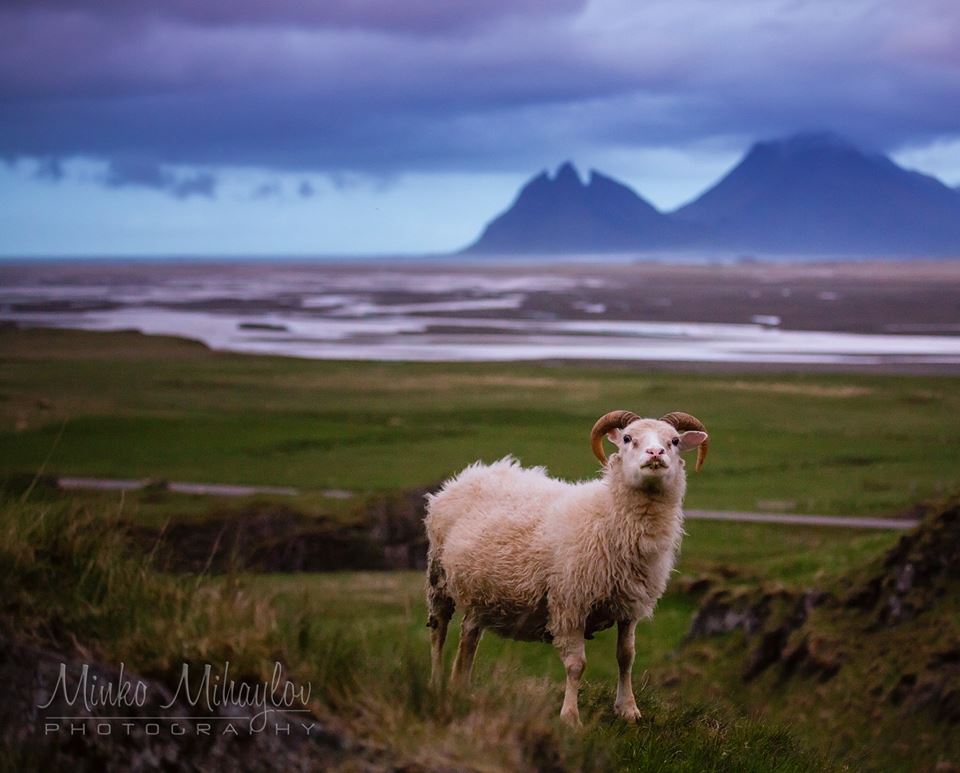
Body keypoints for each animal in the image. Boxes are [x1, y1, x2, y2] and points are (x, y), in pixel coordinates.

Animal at [424, 410, 708, 724]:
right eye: (627, 438)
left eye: (674, 441)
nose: (655, 453)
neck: (607, 516)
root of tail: (472, 473)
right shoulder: (569, 605)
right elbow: (576, 665)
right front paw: (570, 716)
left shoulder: (629, 607)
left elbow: (626, 656)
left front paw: (628, 709)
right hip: (438, 575)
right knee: (438, 629)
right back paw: (436, 684)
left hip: (479, 592)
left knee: (469, 635)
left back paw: (461, 687)